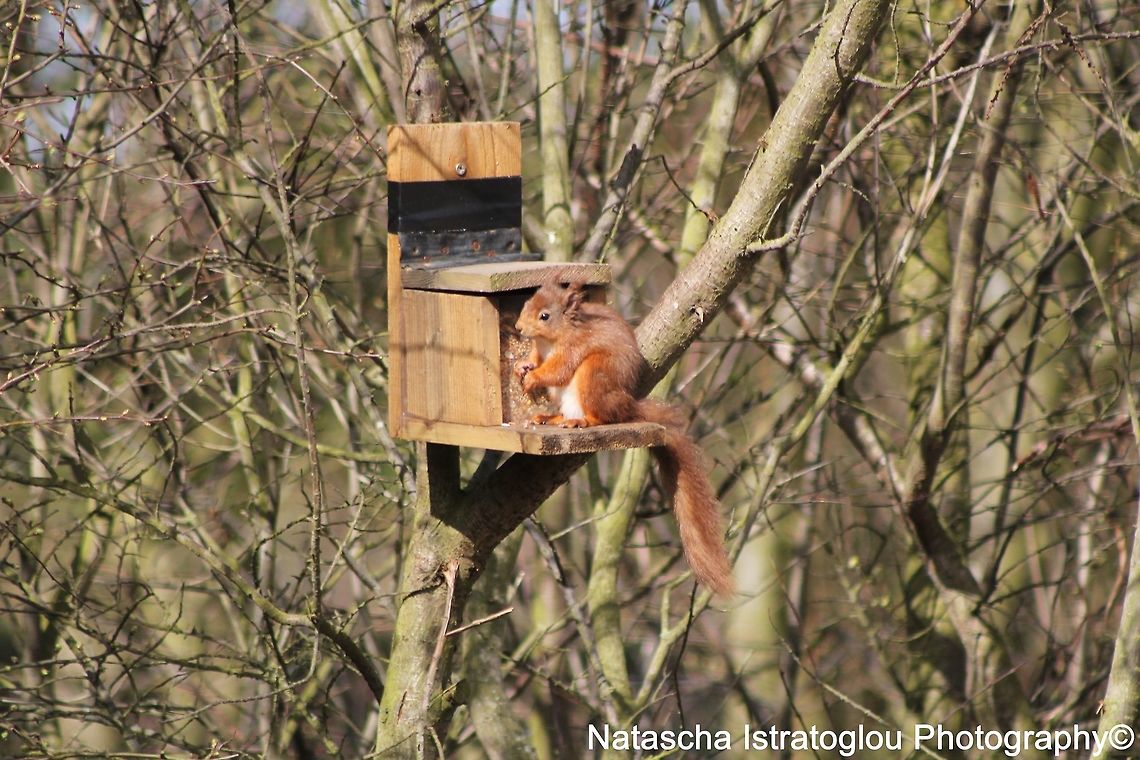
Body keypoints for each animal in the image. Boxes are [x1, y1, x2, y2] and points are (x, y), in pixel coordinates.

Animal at [514, 278, 734, 596]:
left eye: (545, 316)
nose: (518, 328)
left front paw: (533, 377)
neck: (554, 337)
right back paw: (551, 418)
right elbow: (536, 359)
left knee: (601, 416)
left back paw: (580, 421)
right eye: (526, 303)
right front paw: (523, 366)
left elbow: (557, 370)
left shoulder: (573, 349)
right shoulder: (541, 350)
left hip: (594, 375)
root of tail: (628, 406)